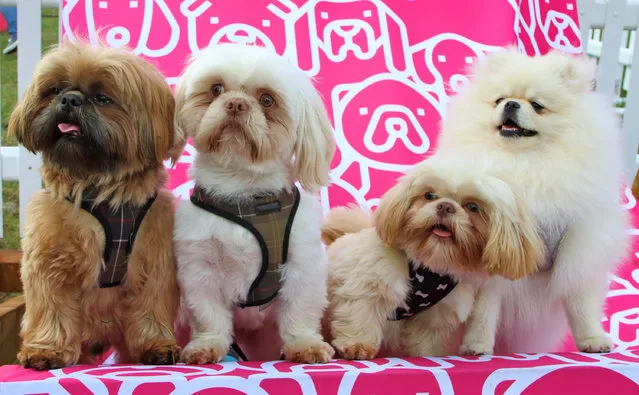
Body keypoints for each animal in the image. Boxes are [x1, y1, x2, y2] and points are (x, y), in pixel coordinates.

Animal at [8, 42, 186, 372]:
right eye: (54, 90)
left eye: (103, 99)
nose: (70, 98)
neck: (99, 187)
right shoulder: (49, 263)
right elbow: (51, 308)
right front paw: (47, 350)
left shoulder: (153, 261)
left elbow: (151, 307)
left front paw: (156, 345)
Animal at [172, 43, 338, 366]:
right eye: (216, 89)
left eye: (267, 100)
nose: (236, 104)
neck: (243, 194)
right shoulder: (199, 265)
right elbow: (208, 313)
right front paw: (207, 345)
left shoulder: (302, 263)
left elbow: (300, 309)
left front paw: (304, 345)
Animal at [320, 156, 544, 360]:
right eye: (429, 195)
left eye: (472, 207)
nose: (445, 206)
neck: (428, 267)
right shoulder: (367, 288)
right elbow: (360, 317)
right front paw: (357, 346)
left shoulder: (433, 316)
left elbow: (425, 339)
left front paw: (427, 354)